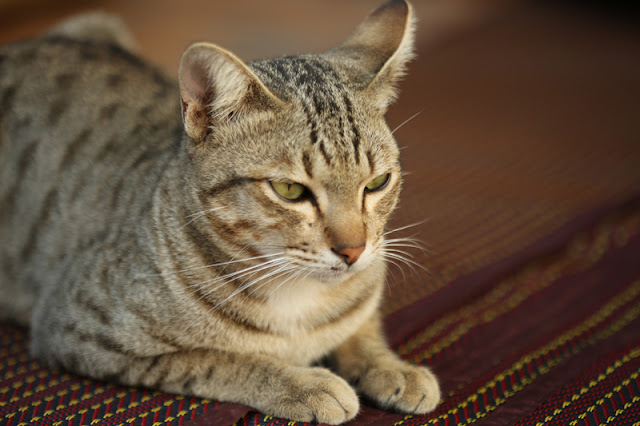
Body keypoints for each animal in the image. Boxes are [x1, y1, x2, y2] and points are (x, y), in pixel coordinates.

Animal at [0, 0, 440, 422]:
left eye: (378, 182)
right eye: (290, 190)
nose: (353, 250)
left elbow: (361, 328)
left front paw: (394, 368)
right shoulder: (76, 329)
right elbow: (223, 360)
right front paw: (303, 383)